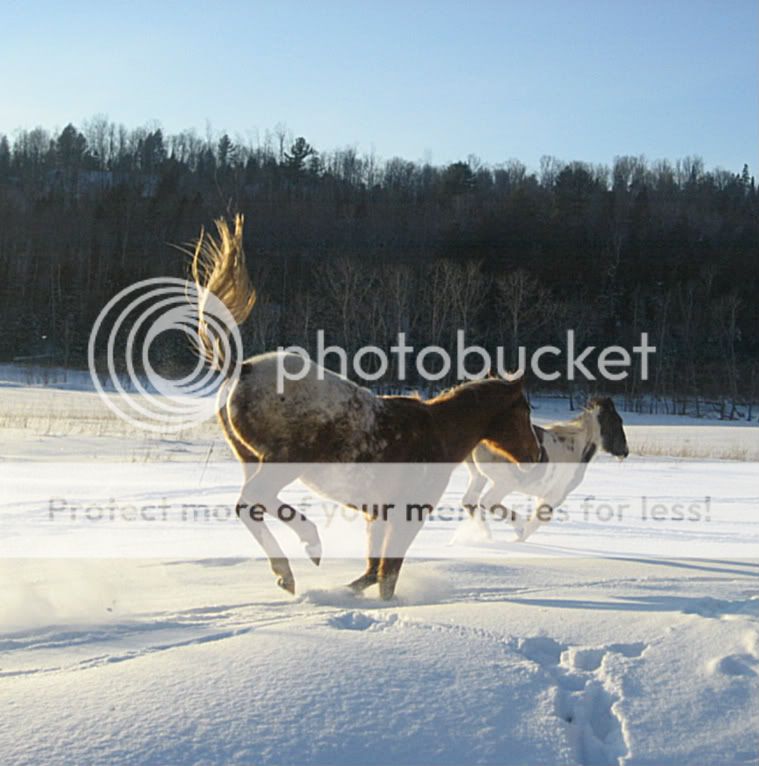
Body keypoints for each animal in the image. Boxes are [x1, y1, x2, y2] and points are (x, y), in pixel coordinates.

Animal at [193, 216, 544, 600]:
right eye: (525, 412)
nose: (536, 455)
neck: (439, 433)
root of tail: (242, 368)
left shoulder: (377, 515)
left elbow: (371, 573)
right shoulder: (408, 514)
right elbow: (387, 576)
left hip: (251, 460)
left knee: (252, 508)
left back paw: (290, 569)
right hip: (282, 462)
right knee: (251, 501)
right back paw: (306, 547)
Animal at [464, 400, 628, 544]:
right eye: (618, 422)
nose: (625, 452)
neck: (578, 447)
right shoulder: (555, 495)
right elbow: (538, 520)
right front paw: (519, 539)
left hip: (479, 476)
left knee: (469, 501)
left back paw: (486, 534)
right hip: (506, 482)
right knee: (487, 501)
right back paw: (517, 527)